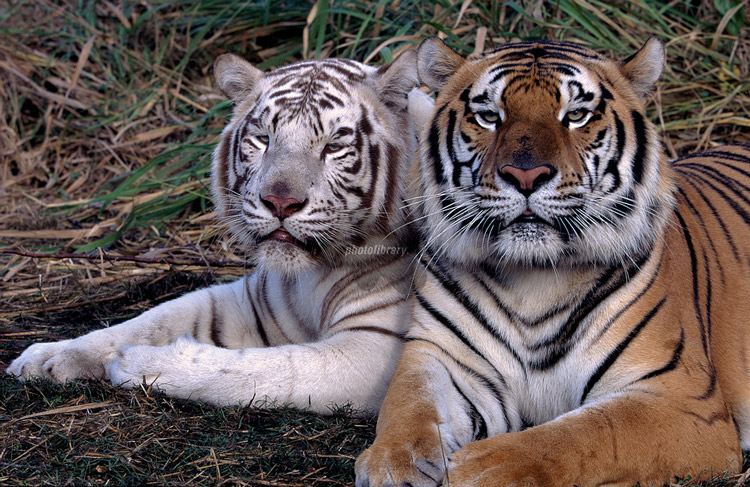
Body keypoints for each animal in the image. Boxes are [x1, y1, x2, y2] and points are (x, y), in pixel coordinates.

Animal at [8, 49, 426, 416]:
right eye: (263, 139)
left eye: (335, 145)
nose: (280, 202)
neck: (313, 273)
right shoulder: (250, 302)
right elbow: (152, 319)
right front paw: (49, 355)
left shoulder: (376, 350)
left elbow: (266, 368)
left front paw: (139, 364)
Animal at [356, 38, 750, 487]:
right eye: (488, 117)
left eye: (576, 116)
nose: (525, 176)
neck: (533, 278)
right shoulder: (441, 355)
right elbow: (408, 403)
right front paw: (392, 461)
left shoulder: (681, 398)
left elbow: (589, 433)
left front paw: (485, 467)